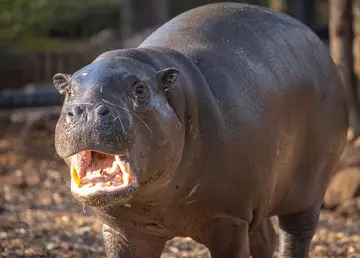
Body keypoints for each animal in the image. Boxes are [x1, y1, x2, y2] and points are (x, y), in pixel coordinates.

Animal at [53, 2, 348, 258]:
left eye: (140, 89)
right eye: (68, 90)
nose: (88, 109)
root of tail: (317, 42)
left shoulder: (227, 219)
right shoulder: (122, 229)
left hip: (308, 192)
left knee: (296, 236)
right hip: (258, 196)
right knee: (265, 238)